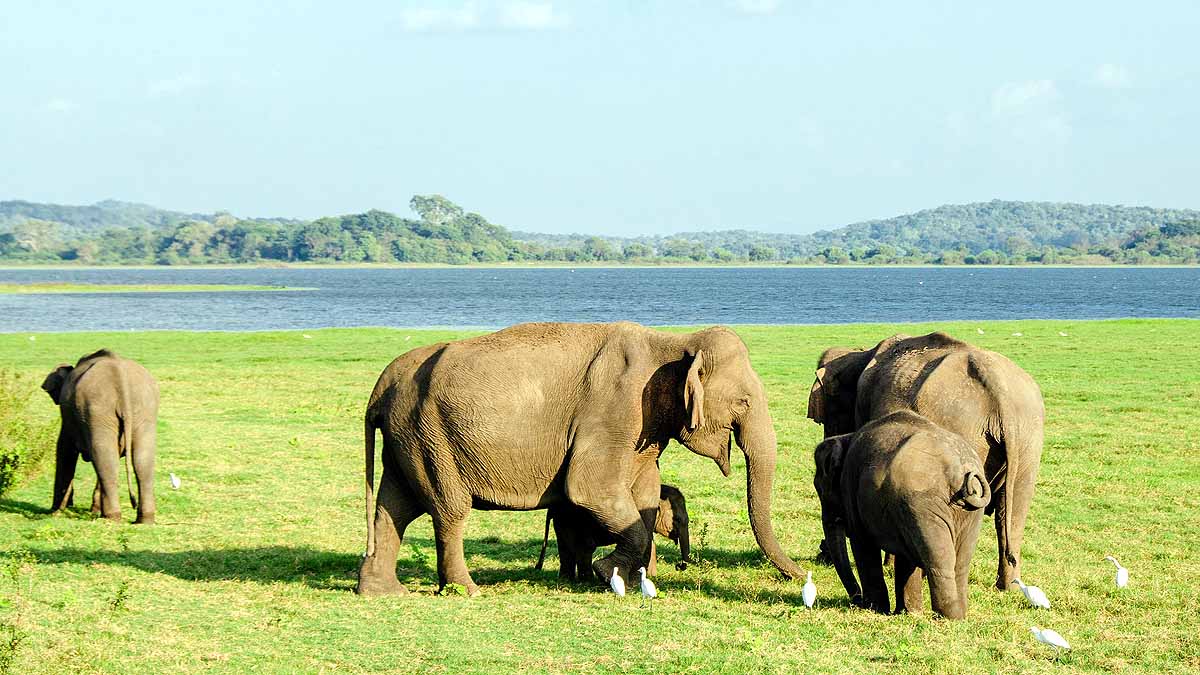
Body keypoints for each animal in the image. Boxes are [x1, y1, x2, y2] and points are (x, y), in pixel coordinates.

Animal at [41, 349, 158, 524]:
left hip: (98, 411)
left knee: (105, 459)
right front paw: (93, 511)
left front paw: (56, 511)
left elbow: (64, 449)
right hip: (145, 411)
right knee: (140, 462)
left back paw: (111, 518)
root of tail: (120, 376)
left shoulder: (69, 419)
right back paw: (144, 520)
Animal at [534, 483, 692, 580]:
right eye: (677, 519)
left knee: (568, 546)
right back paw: (585, 580)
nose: (678, 566)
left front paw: (651, 576)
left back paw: (569, 580)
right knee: (584, 547)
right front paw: (650, 576)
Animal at [807, 332, 1044, 591]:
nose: (821, 555)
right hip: (1029, 438)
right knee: (1013, 510)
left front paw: (890, 565)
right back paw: (1008, 586)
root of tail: (998, 388)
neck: (860, 353)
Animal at [814, 410, 991, 619]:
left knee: (938, 558)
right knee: (960, 563)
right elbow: (906, 558)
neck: (846, 437)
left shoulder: (851, 488)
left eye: (820, 489)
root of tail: (960, 469)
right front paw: (908, 613)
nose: (856, 601)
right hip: (966, 514)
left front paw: (876, 609)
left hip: (923, 504)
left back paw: (946, 616)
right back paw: (959, 616)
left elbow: (862, 545)